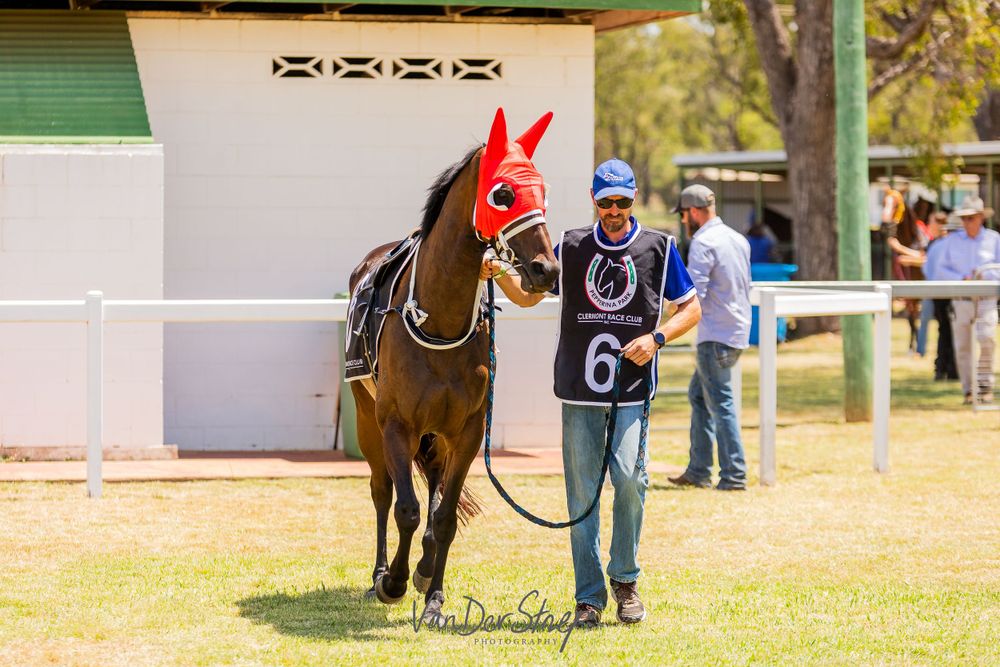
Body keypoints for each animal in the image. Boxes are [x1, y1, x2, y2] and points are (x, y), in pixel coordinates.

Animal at [347, 109, 559, 625]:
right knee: (382, 491)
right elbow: (405, 508)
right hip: (365, 417)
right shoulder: (396, 425)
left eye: (542, 191)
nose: (546, 269)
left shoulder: (466, 431)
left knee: (435, 491)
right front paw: (394, 582)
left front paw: (433, 596)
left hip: (437, 436)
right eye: (503, 194)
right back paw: (378, 573)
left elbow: (442, 516)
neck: (438, 320)